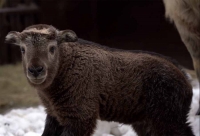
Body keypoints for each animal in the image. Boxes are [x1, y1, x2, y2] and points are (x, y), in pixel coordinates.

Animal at [5, 24, 194, 136]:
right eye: (22, 49)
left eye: (52, 48)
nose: (36, 70)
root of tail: (185, 79)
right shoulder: (55, 115)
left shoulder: (80, 116)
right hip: (148, 121)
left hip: (167, 118)